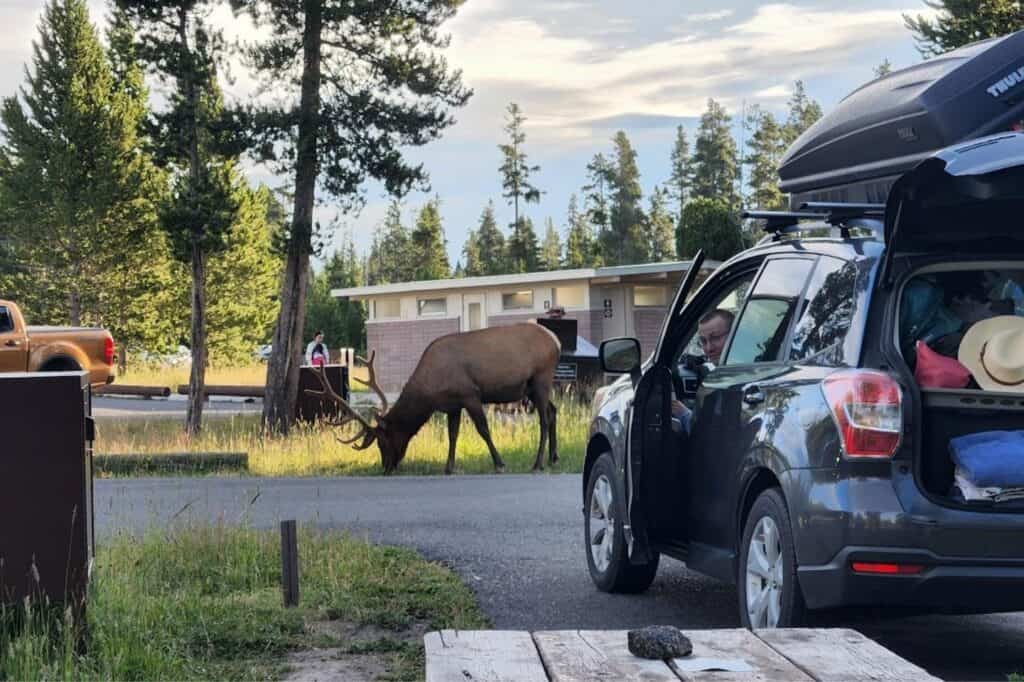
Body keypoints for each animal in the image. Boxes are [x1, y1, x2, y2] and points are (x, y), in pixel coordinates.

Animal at [307, 323, 562, 474]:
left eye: (382, 440)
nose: (386, 468)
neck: (430, 393)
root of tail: (556, 341)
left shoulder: (470, 394)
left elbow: (483, 429)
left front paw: (499, 463)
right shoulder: (453, 405)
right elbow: (452, 435)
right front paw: (448, 467)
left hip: (541, 378)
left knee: (544, 419)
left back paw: (538, 463)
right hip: (532, 388)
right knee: (553, 411)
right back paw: (553, 458)